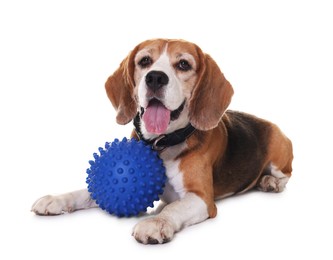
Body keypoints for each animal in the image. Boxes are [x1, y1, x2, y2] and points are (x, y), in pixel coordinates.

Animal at [30, 38, 290, 244]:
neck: (161, 144)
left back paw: (270, 182)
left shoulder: (202, 198)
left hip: (280, 155)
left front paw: (156, 222)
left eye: (184, 64)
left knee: (285, 175)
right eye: (145, 61)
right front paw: (56, 199)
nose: (155, 77)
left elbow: (175, 206)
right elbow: (85, 192)